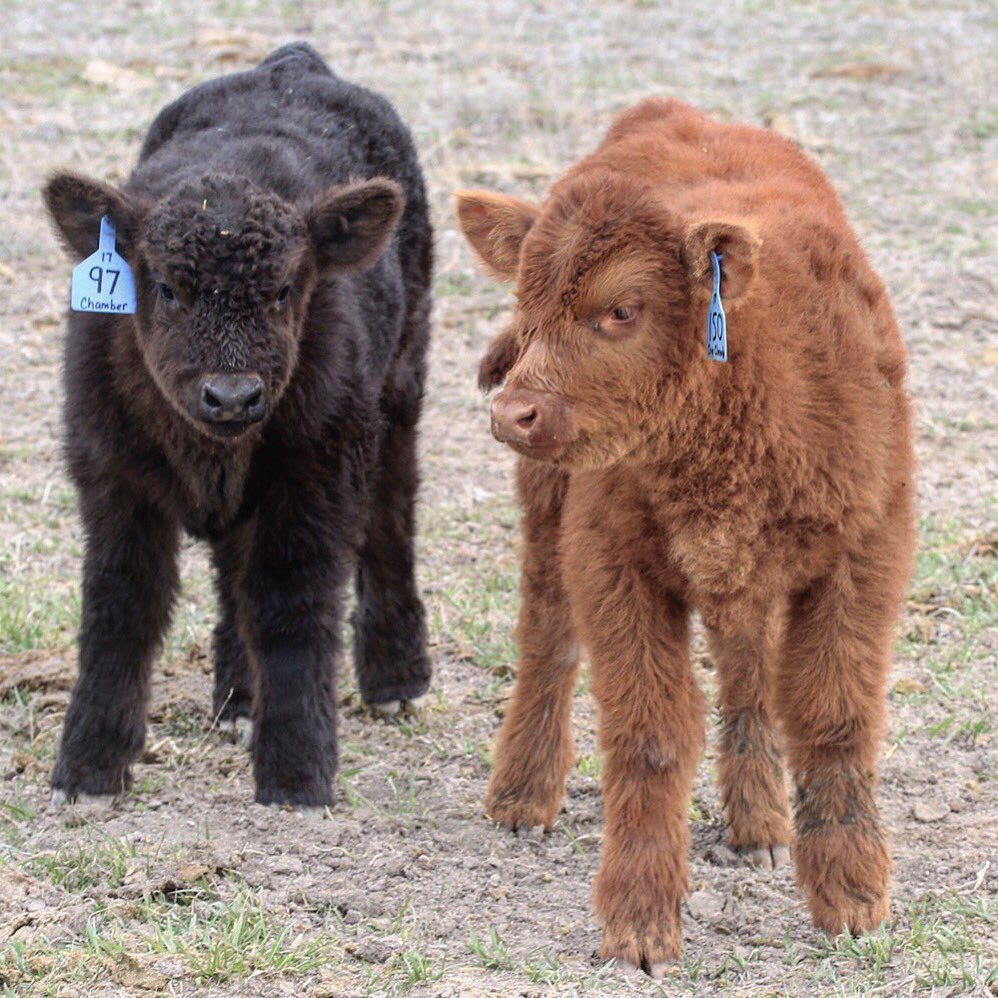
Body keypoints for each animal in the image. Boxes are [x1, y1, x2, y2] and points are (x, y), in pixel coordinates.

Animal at [43, 43, 433, 808]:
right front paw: (90, 766)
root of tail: (292, 64)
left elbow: (290, 606)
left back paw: (396, 676)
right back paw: (238, 697)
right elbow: (120, 607)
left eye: (283, 291)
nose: (231, 396)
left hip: (401, 382)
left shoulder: (317, 476)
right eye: (165, 288)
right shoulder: (110, 476)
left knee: (391, 516)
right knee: (232, 567)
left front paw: (296, 773)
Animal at [455, 97, 915, 975]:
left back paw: (760, 822)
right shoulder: (611, 558)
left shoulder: (864, 550)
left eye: (622, 309)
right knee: (547, 631)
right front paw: (638, 922)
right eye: (527, 305)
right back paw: (523, 793)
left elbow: (834, 716)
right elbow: (650, 734)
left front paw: (852, 898)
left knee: (747, 668)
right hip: (550, 506)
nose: (513, 413)